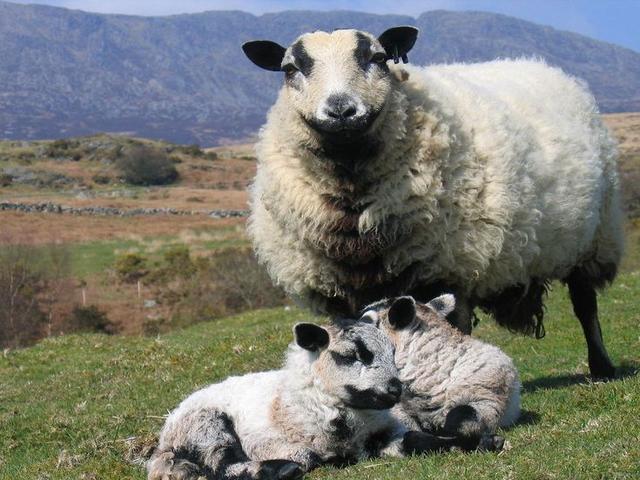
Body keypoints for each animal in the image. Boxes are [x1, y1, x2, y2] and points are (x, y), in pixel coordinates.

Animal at [147, 321, 501, 480]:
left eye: (394, 351)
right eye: (351, 354)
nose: (395, 390)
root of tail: (165, 439)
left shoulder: (384, 435)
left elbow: (415, 439)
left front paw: (485, 441)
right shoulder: (274, 441)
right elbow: (310, 456)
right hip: (206, 424)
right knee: (223, 463)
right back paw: (280, 470)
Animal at [242, 26, 624, 379]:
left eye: (377, 58)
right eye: (291, 68)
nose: (341, 110)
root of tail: (540, 66)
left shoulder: (447, 268)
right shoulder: (341, 291)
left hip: (594, 237)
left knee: (585, 304)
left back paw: (602, 367)